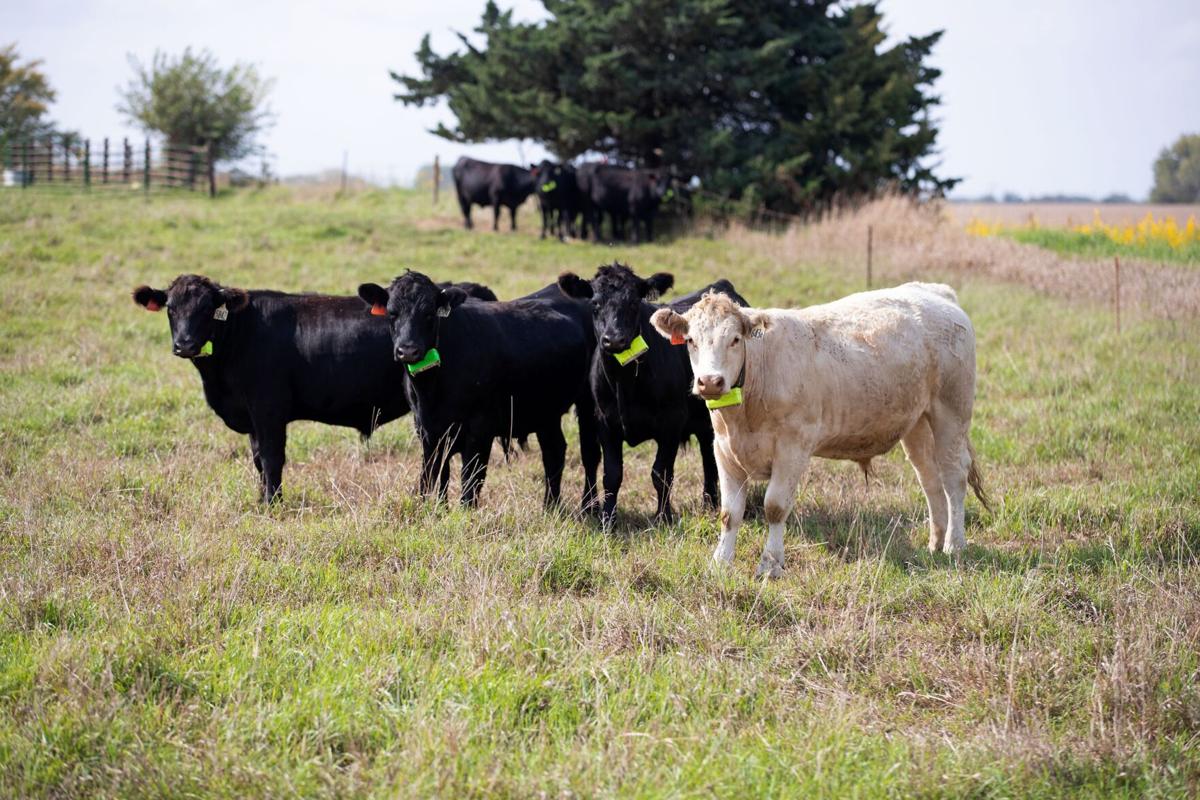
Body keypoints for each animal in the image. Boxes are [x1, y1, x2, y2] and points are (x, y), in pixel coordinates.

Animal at [133, 275, 499, 501]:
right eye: (170, 309)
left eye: (207, 309)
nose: (185, 344)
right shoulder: (253, 419)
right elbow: (258, 461)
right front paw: (261, 499)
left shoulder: (268, 410)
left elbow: (272, 459)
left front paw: (272, 505)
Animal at [355, 268, 600, 506]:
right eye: (392, 313)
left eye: (429, 313)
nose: (408, 350)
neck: (431, 390)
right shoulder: (427, 428)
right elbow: (431, 475)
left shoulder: (480, 428)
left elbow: (470, 482)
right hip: (545, 410)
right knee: (554, 451)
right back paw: (551, 507)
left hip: (588, 403)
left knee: (590, 454)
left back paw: (590, 507)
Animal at [554, 262, 744, 525]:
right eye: (595, 304)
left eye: (634, 303)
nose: (614, 339)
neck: (626, 383)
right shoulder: (605, 422)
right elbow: (612, 475)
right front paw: (607, 520)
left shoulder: (672, 422)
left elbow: (661, 473)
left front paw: (664, 516)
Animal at [652, 284, 988, 578]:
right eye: (691, 340)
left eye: (735, 339)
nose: (710, 381)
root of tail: (934, 292)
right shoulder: (723, 449)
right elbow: (729, 513)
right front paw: (720, 563)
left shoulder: (793, 448)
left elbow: (774, 506)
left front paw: (770, 565)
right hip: (917, 423)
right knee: (929, 479)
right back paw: (935, 542)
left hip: (951, 412)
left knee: (953, 477)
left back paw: (954, 544)